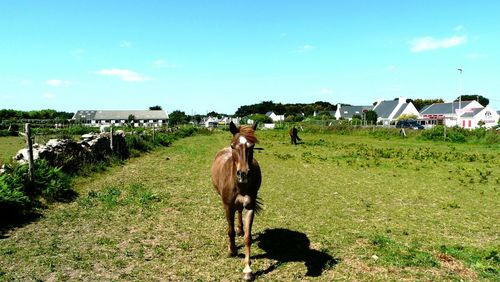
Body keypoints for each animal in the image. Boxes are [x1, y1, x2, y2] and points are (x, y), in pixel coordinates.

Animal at [211, 121, 262, 280]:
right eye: (233, 146)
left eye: (252, 146)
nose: (243, 174)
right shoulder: (227, 206)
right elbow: (230, 231)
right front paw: (232, 250)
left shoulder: (250, 207)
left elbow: (247, 238)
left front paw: (247, 270)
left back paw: (240, 228)